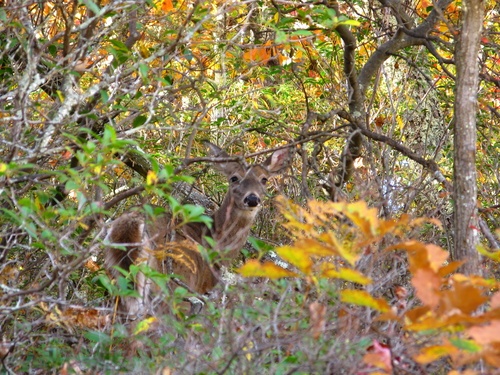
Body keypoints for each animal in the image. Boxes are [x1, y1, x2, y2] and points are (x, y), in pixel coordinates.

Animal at [105, 142, 292, 318]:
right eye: (234, 178)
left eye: (264, 179)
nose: (252, 199)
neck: (216, 240)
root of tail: (133, 220)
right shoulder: (202, 287)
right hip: (174, 281)